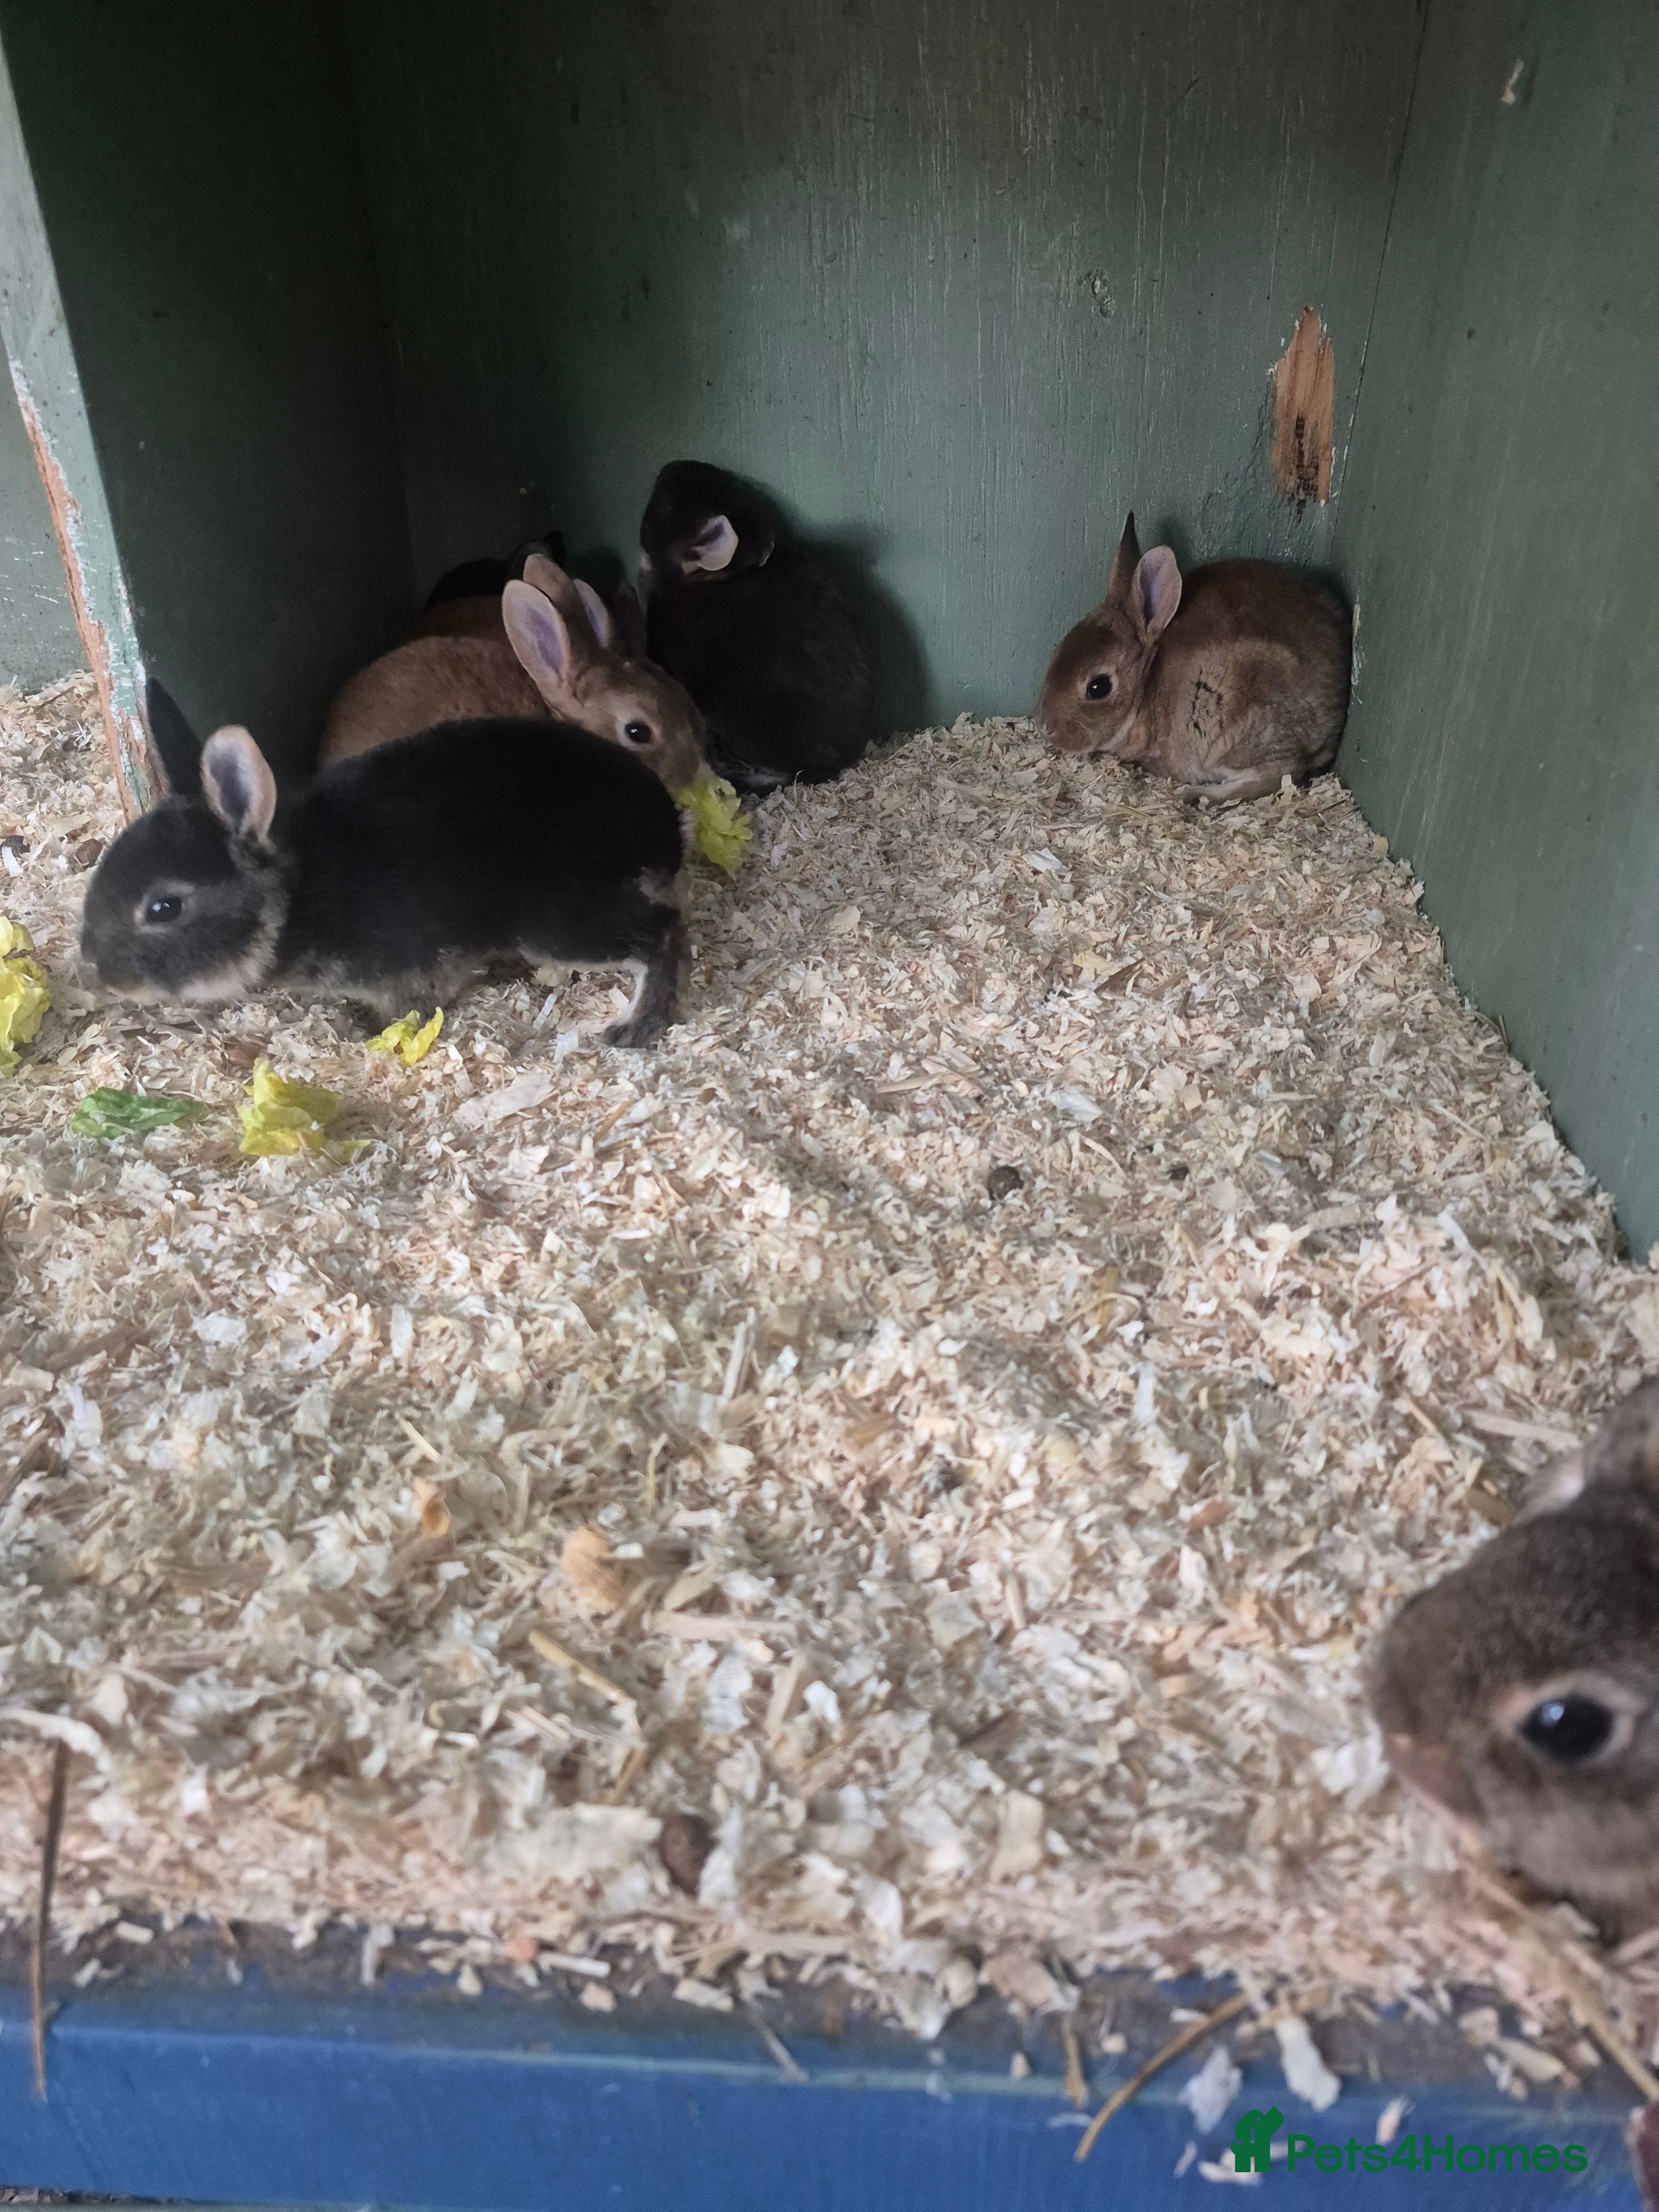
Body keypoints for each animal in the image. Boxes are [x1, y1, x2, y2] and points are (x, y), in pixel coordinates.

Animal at [82, 709, 685, 1048]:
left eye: (164, 908)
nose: (98, 975)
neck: (300, 895)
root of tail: (663, 830)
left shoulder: (410, 972)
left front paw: (375, 1033)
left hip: (553, 923)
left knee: (663, 933)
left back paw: (636, 1027)